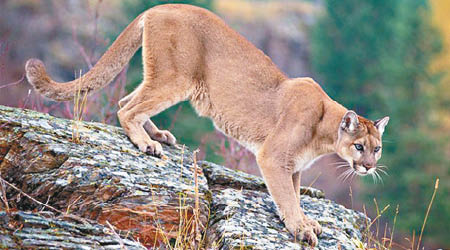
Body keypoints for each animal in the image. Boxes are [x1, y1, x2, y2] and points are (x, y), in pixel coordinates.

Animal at [25, 3, 390, 246]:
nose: (369, 167)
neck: (324, 129)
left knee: (125, 101)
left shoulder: (294, 166)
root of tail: (158, 7)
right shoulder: (273, 157)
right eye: (359, 146)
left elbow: (295, 195)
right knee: (127, 108)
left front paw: (304, 222)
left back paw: (159, 135)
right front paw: (300, 228)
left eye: (378, 149)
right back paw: (147, 143)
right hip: (177, 77)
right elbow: (287, 196)